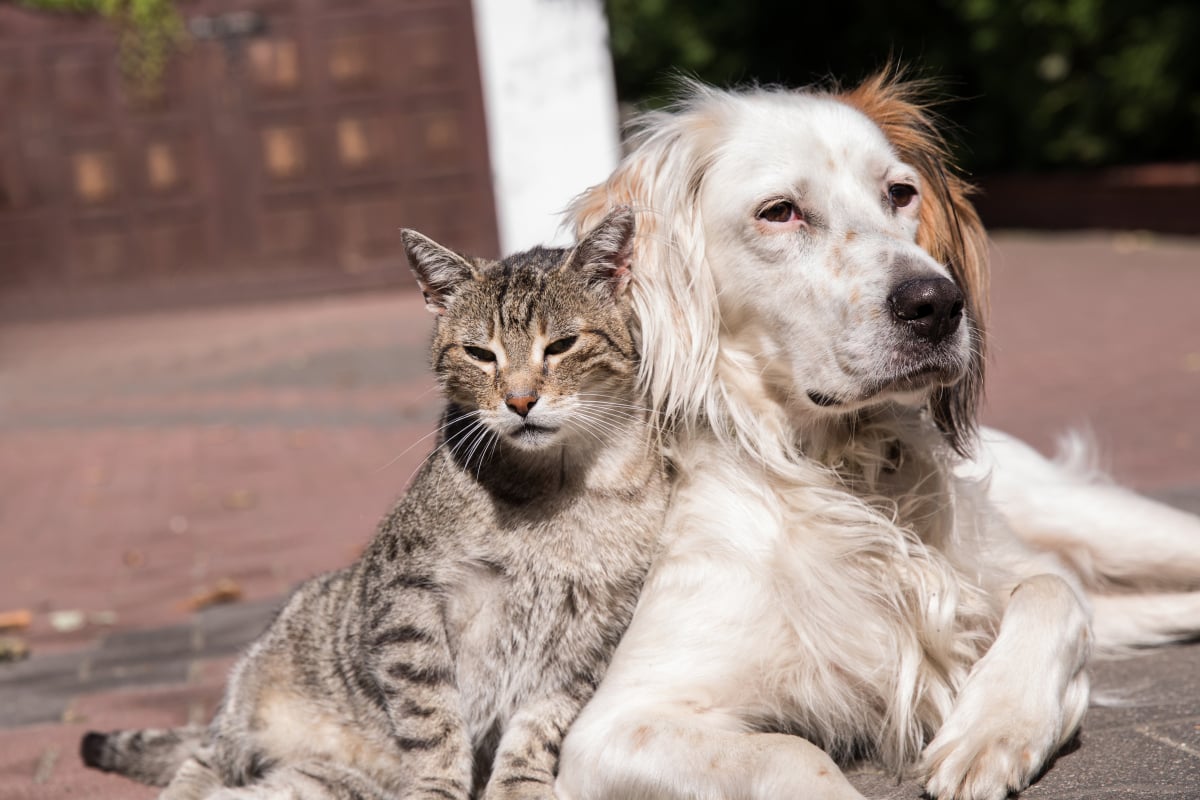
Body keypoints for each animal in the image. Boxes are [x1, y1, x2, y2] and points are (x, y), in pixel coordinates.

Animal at [83, 208, 667, 800]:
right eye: (480, 354)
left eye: (562, 345)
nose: (520, 401)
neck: (561, 487)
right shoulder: (405, 595)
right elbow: (433, 719)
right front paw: (438, 787)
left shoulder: (594, 636)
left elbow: (538, 727)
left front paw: (519, 786)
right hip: (242, 724)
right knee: (198, 764)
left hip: (312, 785)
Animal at [554, 71, 1200, 796]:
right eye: (779, 211)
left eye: (900, 192)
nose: (937, 304)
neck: (837, 468)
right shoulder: (617, 725)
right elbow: (792, 753)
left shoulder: (1017, 574)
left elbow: (1051, 592)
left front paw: (994, 727)